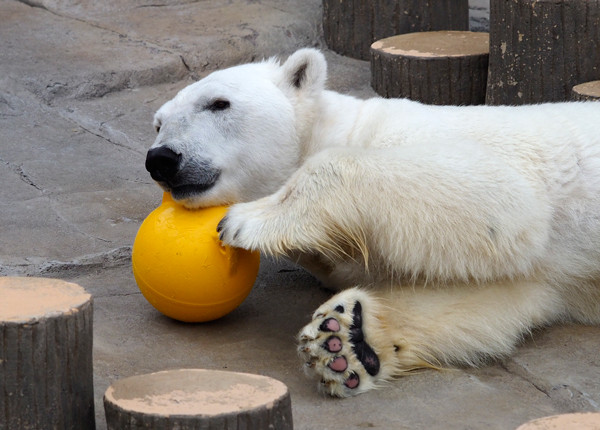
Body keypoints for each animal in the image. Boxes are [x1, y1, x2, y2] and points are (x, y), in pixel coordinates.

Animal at [146, 47, 600, 396]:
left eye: (218, 103)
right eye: (158, 123)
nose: (161, 159)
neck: (341, 129)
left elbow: (500, 197)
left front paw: (250, 219)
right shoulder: (543, 276)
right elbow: (501, 295)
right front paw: (346, 342)